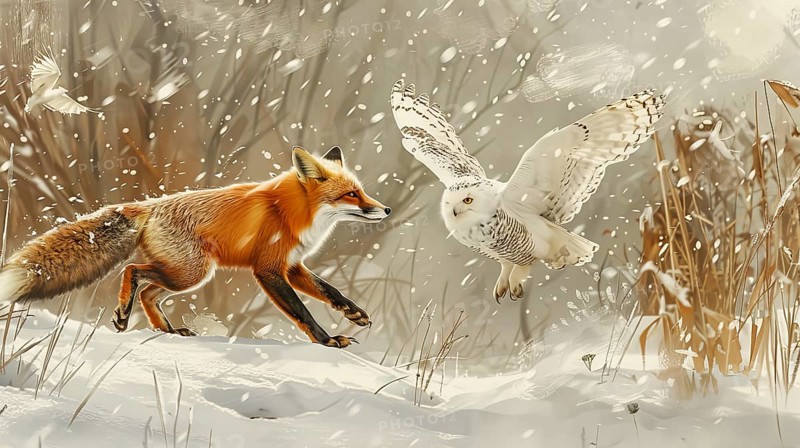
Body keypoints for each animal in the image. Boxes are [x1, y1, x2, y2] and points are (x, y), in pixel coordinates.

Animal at [0, 146, 391, 348]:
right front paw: (327, 340)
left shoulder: (292, 266)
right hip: (193, 273)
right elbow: (302, 312)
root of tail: (148, 205)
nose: (386, 209)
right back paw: (125, 312)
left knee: (149, 292)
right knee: (133, 271)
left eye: (361, 190)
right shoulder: (268, 269)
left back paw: (169, 331)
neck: (290, 213)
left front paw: (354, 313)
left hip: (187, 274)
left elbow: (329, 290)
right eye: (351, 194)